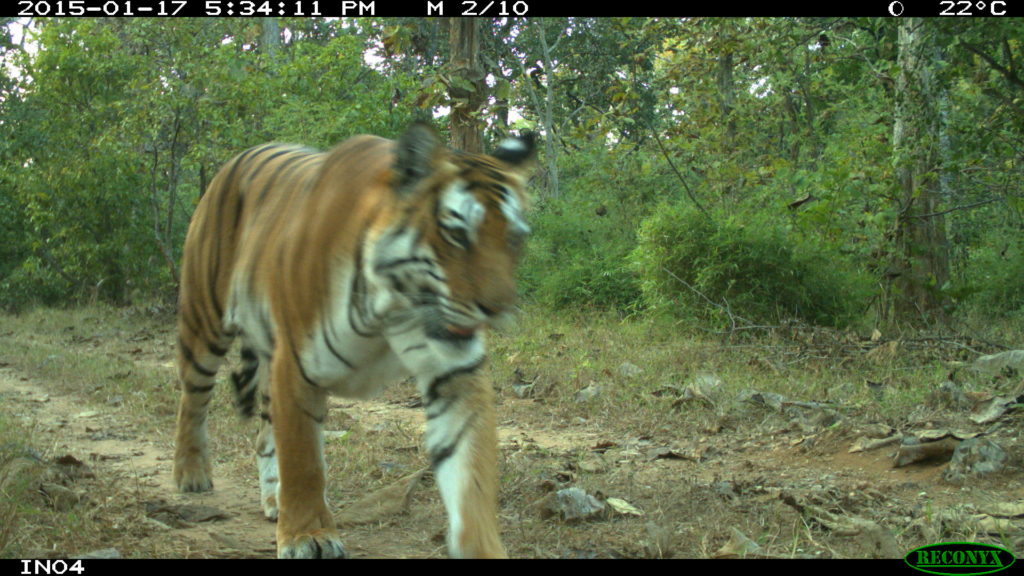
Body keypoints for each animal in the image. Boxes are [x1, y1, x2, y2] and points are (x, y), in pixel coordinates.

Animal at [172, 121, 536, 557]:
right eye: (457, 234)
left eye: (514, 238)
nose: (497, 309)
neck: (390, 305)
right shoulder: (296, 367)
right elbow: (305, 462)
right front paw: (308, 536)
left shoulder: (456, 375)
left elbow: (471, 480)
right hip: (204, 319)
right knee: (193, 399)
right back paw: (191, 473)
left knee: (263, 434)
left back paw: (274, 501)